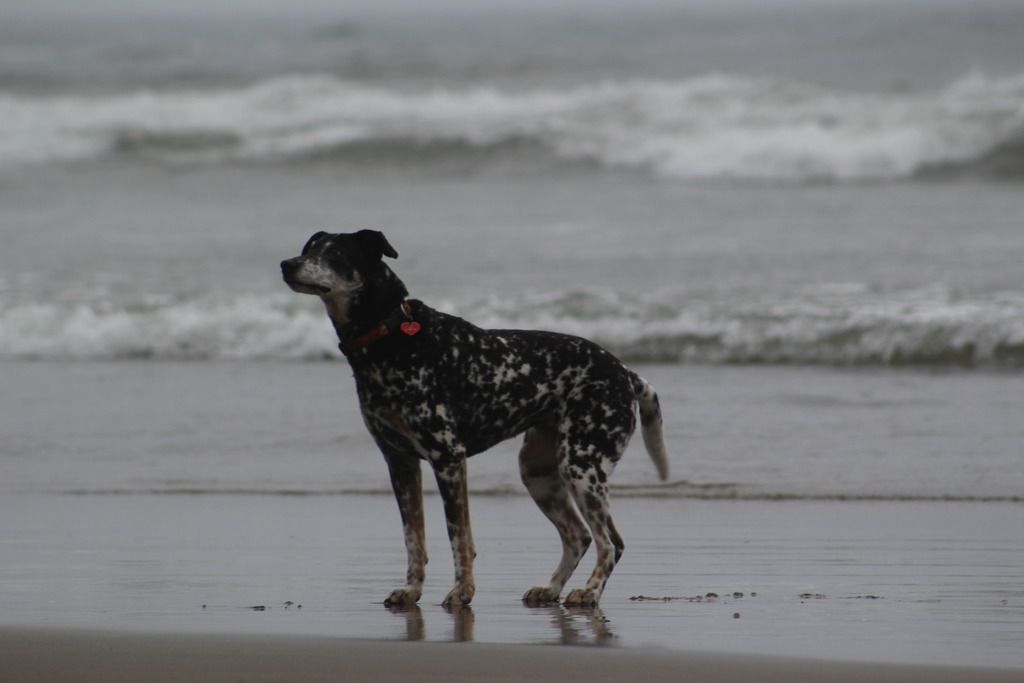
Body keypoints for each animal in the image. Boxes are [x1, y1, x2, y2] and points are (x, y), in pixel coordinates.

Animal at [281, 230, 669, 608]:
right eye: (309, 248)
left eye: (335, 254)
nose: (287, 264)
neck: (390, 338)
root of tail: (625, 374)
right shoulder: (399, 461)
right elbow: (413, 538)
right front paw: (412, 590)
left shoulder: (448, 459)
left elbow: (459, 538)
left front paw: (462, 591)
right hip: (538, 472)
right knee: (578, 536)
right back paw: (550, 588)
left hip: (582, 467)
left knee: (610, 542)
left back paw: (589, 591)